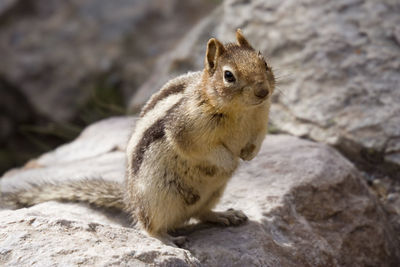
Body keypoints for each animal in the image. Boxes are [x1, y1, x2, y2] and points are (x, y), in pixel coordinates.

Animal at [0, 29, 274, 247]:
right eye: (229, 76)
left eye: (264, 62)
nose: (263, 91)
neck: (242, 111)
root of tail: (130, 200)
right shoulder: (186, 128)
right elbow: (200, 148)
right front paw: (230, 161)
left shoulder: (260, 122)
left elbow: (258, 139)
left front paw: (249, 154)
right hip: (157, 199)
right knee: (149, 227)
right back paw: (167, 239)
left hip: (213, 192)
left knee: (201, 212)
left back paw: (224, 215)